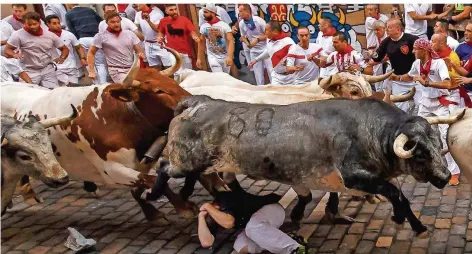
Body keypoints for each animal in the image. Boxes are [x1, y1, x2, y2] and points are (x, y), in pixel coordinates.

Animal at [151, 95, 458, 236]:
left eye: (437, 144)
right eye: (420, 153)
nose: (445, 177)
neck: (369, 130)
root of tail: (198, 101)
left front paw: (413, 223)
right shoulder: (354, 176)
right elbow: (396, 193)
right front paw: (405, 220)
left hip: (213, 163)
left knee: (218, 179)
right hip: (186, 160)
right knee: (164, 166)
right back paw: (159, 194)